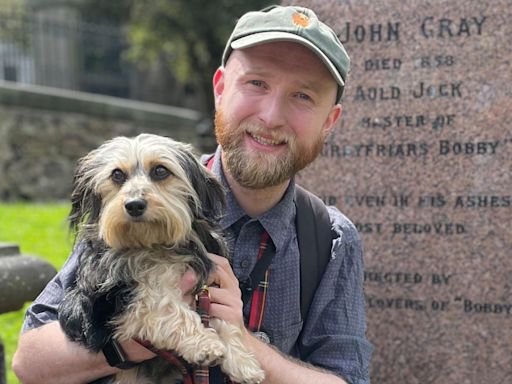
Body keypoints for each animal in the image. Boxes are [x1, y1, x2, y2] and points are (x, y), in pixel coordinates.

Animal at [60, 134, 264, 384]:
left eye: (160, 170)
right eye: (117, 175)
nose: (134, 204)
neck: (154, 246)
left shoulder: (211, 286)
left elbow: (226, 320)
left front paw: (243, 362)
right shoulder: (121, 303)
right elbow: (167, 308)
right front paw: (204, 344)